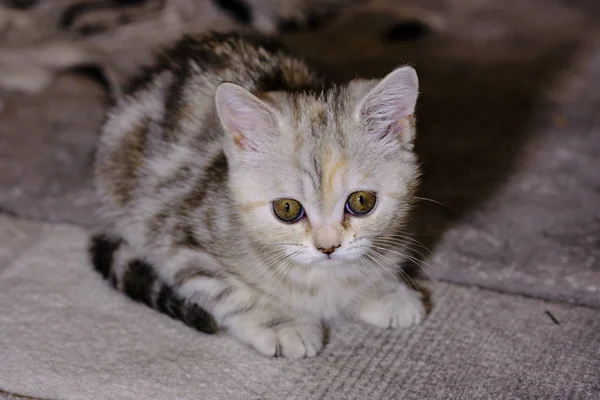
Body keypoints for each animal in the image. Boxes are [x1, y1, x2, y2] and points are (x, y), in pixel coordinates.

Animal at [91, 32, 424, 358]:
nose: (328, 248)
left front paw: (382, 291)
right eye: (287, 208)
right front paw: (281, 323)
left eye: (361, 202)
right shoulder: (175, 234)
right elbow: (226, 288)